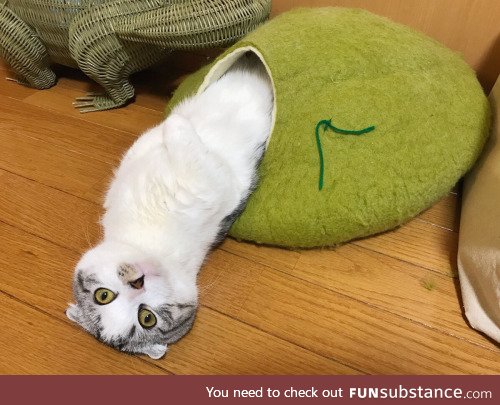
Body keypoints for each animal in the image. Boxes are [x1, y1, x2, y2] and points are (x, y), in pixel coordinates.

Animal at [66, 52, 274, 356]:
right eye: (147, 318)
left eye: (102, 295)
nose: (137, 282)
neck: (148, 239)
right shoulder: (211, 180)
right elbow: (182, 140)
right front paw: (176, 122)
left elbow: (159, 136)